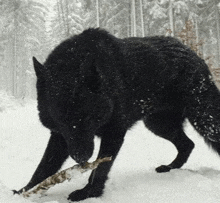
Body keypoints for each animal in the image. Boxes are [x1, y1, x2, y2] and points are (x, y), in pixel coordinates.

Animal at [16, 28, 220, 201]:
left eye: (88, 117)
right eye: (61, 120)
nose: (81, 158)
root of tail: (192, 53)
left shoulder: (113, 133)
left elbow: (100, 168)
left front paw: (89, 192)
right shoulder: (61, 137)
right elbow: (44, 166)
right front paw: (24, 191)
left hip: (204, 121)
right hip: (158, 124)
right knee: (188, 144)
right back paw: (169, 167)